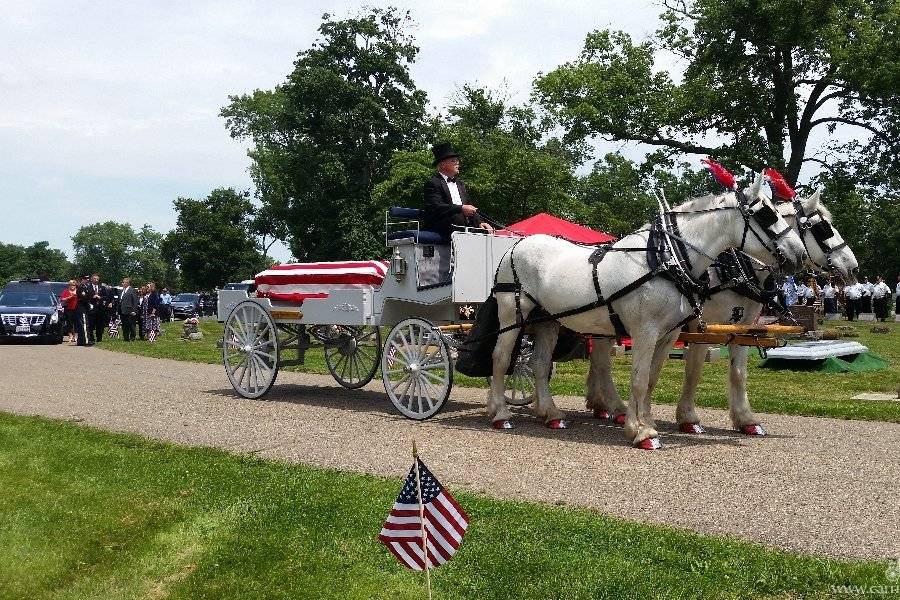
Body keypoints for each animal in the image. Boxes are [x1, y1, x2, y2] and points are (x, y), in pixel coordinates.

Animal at [486, 171, 808, 448]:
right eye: (765, 214)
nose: (799, 254)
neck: (666, 259)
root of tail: (516, 245)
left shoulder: (668, 335)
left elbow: (651, 378)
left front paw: (646, 422)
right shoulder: (644, 332)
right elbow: (639, 380)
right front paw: (640, 432)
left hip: (548, 321)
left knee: (539, 364)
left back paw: (551, 414)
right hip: (512, 314)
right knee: (501, 358)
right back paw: (500, 413)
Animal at [584, 190, 856, 434]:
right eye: (822, 228)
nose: (852, 266)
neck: (732, 269)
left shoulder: (743, 327)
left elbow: (738, 373)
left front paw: (746, 419)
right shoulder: (702, 328)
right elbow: (693, 370)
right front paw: (688, 418)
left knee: (598, 358)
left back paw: (599, 403)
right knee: (602, 360)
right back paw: (616, 407)